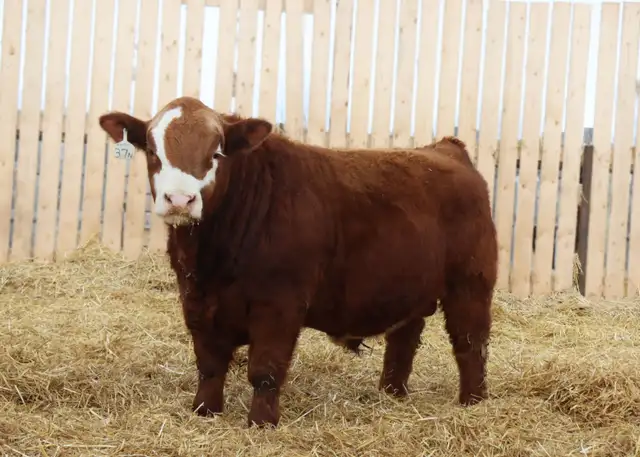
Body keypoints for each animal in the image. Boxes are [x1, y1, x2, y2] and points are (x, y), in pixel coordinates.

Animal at [98, 96, 498, 428]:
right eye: (153, 151)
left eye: (216, 154)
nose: (180, 199)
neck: (213, 259)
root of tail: (445, 148)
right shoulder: (195, 299)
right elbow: (209, 364)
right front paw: (204, 411)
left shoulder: (280, 304)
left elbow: (265, 369)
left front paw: (261, 423)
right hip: (408, 287)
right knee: (404, 339)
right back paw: (391, 394)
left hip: (471, 283)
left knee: (470, 343)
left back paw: (473, 402)